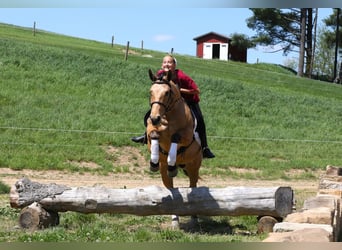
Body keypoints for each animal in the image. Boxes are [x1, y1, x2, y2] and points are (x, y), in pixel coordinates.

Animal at [145, 68, 203, 229]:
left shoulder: (186, 136)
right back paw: (175, 219)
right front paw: (153, 162)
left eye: (167, 93)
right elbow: (154, 135)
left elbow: (175, 138)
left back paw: (194, 218)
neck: (168, 115)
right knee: (171, 189)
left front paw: (172, 163)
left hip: (194, 166)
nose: (155, 118)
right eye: (151, 91)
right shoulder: (151, 130)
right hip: (165, 172)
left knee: (193, 186)